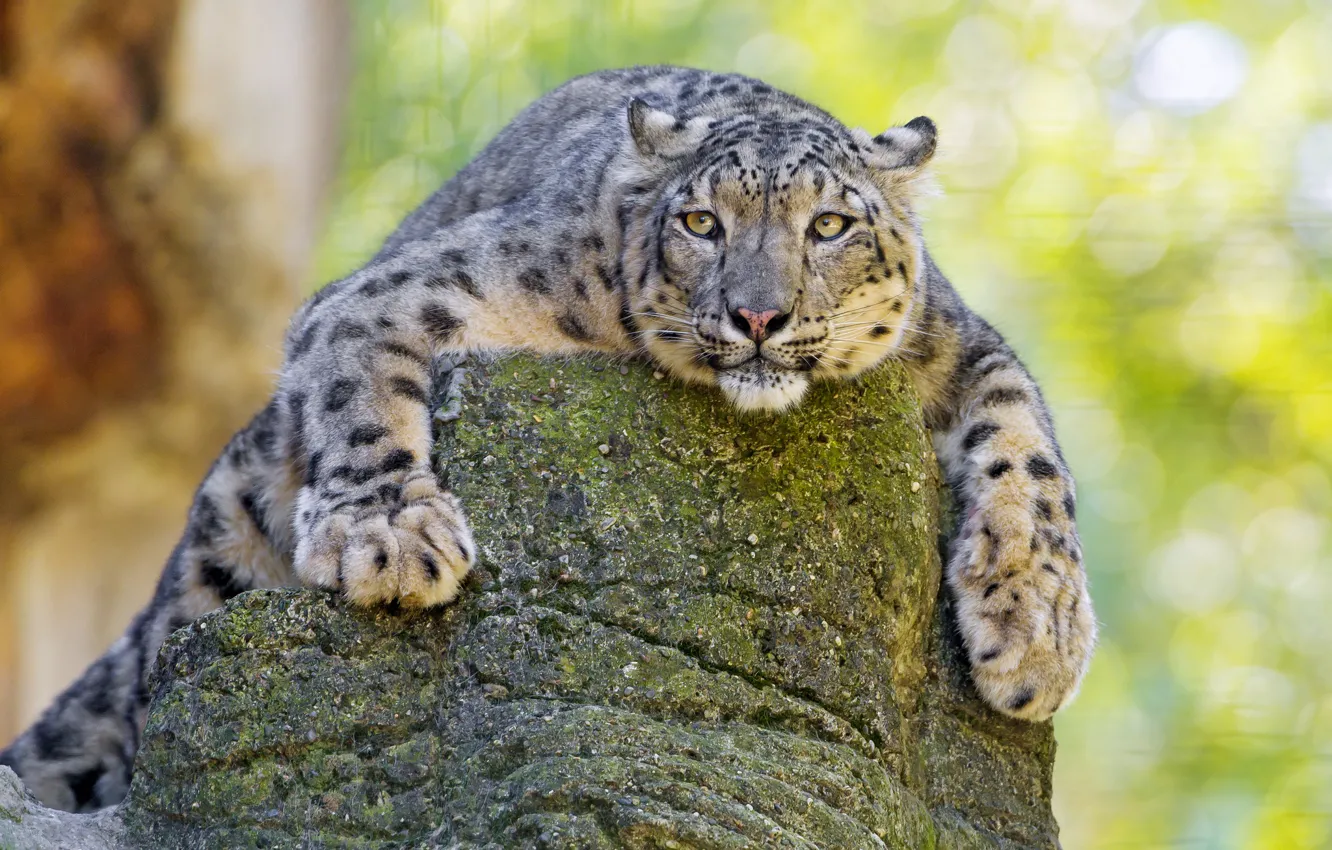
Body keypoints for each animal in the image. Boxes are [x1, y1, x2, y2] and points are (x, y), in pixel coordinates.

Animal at [1, 65, 1096, 813]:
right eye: (701, 221)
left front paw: (1036, 634)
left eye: (830, 226)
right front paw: (390, 537)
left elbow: (1030, 449)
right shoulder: (410, 286)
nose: (757, 317)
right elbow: (362, 382)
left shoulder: (959, 345)